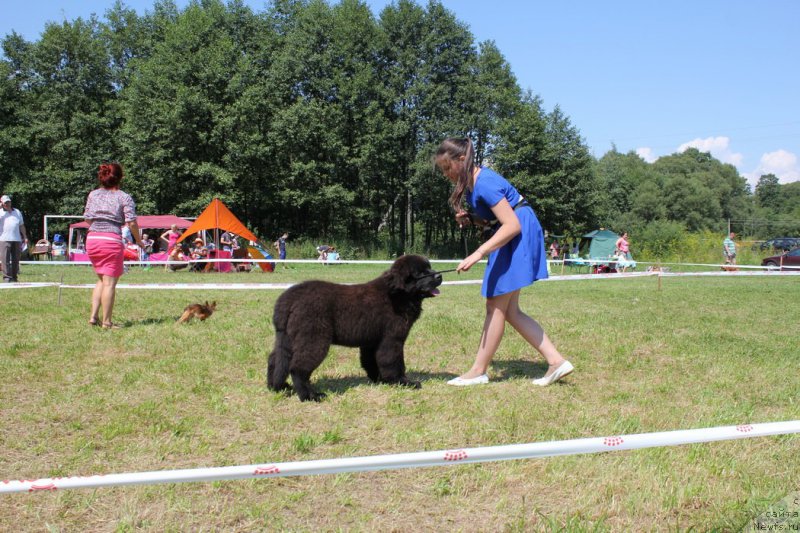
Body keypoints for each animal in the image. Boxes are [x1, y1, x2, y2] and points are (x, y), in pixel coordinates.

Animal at [268, 254, 444, 400]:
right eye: (421, 273)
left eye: (430, 268)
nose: (440, 275)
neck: (397, 294)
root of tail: (288, 298)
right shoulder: (392, 339)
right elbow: (393, 362)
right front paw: (403, 382)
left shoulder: (372, 341)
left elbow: (371, 361)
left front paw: (380, 380)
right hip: (313, 339)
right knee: (297, 368)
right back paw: (310, 396)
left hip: (286, 338)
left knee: (275, 360)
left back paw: (278, 387)